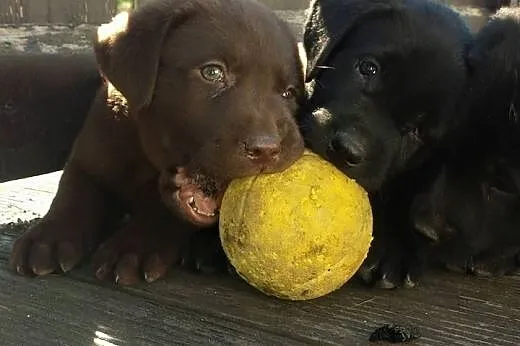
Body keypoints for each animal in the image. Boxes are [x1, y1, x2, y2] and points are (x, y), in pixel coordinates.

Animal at [9, 0, 304, 284]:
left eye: (289, 92)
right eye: (212, 72)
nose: (267, 149)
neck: (142, 156)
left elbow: (162, 211)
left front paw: (132, 247)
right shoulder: (89, 158)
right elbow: (73, 192)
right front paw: (47, 238)